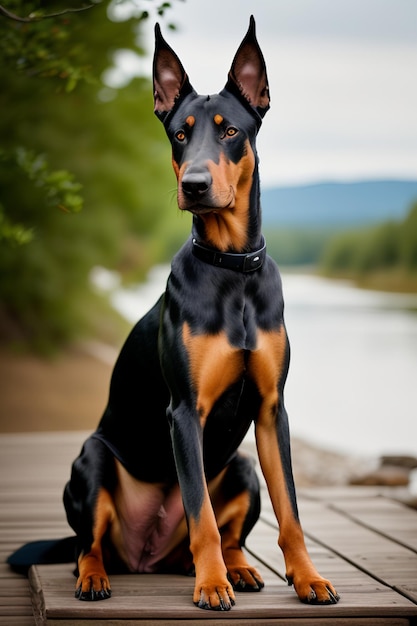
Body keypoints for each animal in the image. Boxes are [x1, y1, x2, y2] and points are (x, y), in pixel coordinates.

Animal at [60, 17, 338, 608]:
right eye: (179, 134)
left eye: (229, 131)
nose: (194, 185)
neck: (233, 271)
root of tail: (145, 558)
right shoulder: (186, 411)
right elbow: (200, 515)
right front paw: (209, 585)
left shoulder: (271, 410)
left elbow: (290, 513)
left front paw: (308, 578)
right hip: (92, 459)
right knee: (87, 544)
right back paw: (97, 577)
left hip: (242, 465)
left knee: (231, 532)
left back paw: (241, 568)